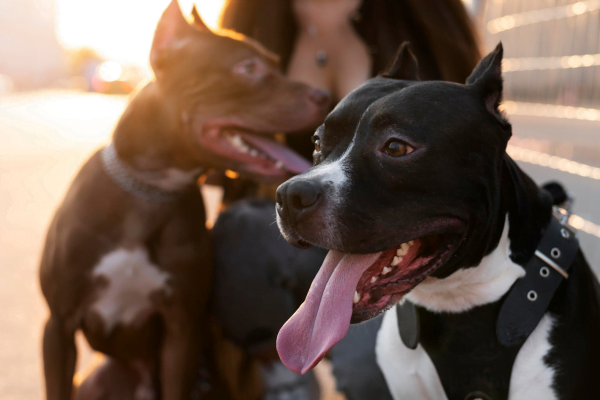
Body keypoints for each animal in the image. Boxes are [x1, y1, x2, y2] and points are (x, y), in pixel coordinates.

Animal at [38, 1, 328, 398]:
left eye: (275, 61)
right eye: (247, 68)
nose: (324, 97)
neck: (151, 191)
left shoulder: (182, 329)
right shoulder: (58, 327)